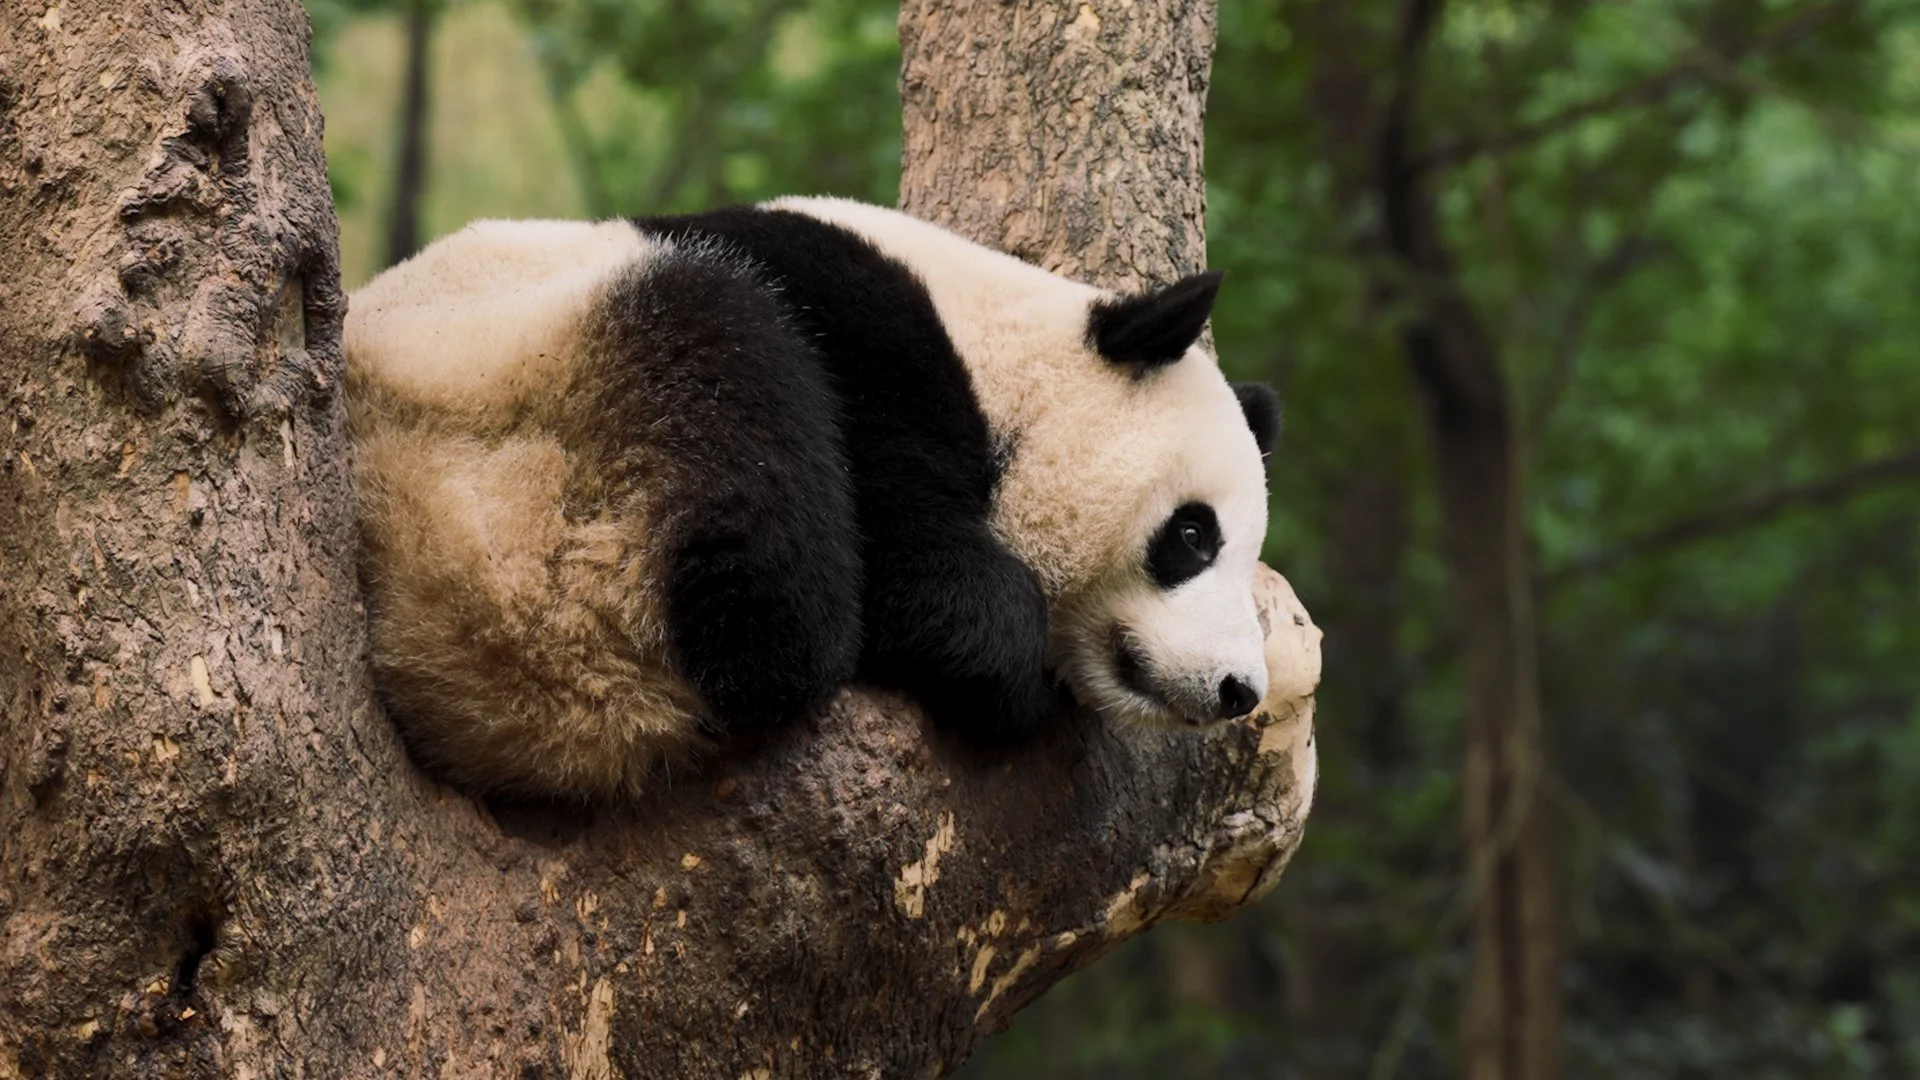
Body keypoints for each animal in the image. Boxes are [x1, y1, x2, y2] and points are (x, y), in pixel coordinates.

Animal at [345, 197, 1281, 800]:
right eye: (1192, 536)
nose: (1240, 690)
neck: (999, 351)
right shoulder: (864, 339)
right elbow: (904, 547)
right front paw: (1007, 660)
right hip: (526, 446)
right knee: (724, 352)